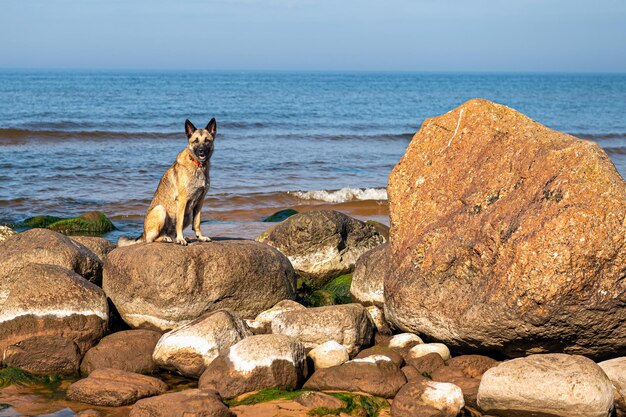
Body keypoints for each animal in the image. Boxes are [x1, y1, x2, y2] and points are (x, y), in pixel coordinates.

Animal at [118, 117, 216, 245]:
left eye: (207, 141)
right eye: (195, 141)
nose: (201, 152)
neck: (197, 165)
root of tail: (143, 233)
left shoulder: (200, 202)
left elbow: (197, 222)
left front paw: (200, 237)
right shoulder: (182, 200)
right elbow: (179, 224)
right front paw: (181, 239)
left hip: (188, 215)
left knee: (170, 234)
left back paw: (176, 238)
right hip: (161, 210)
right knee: (151, 239)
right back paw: (168, 238)